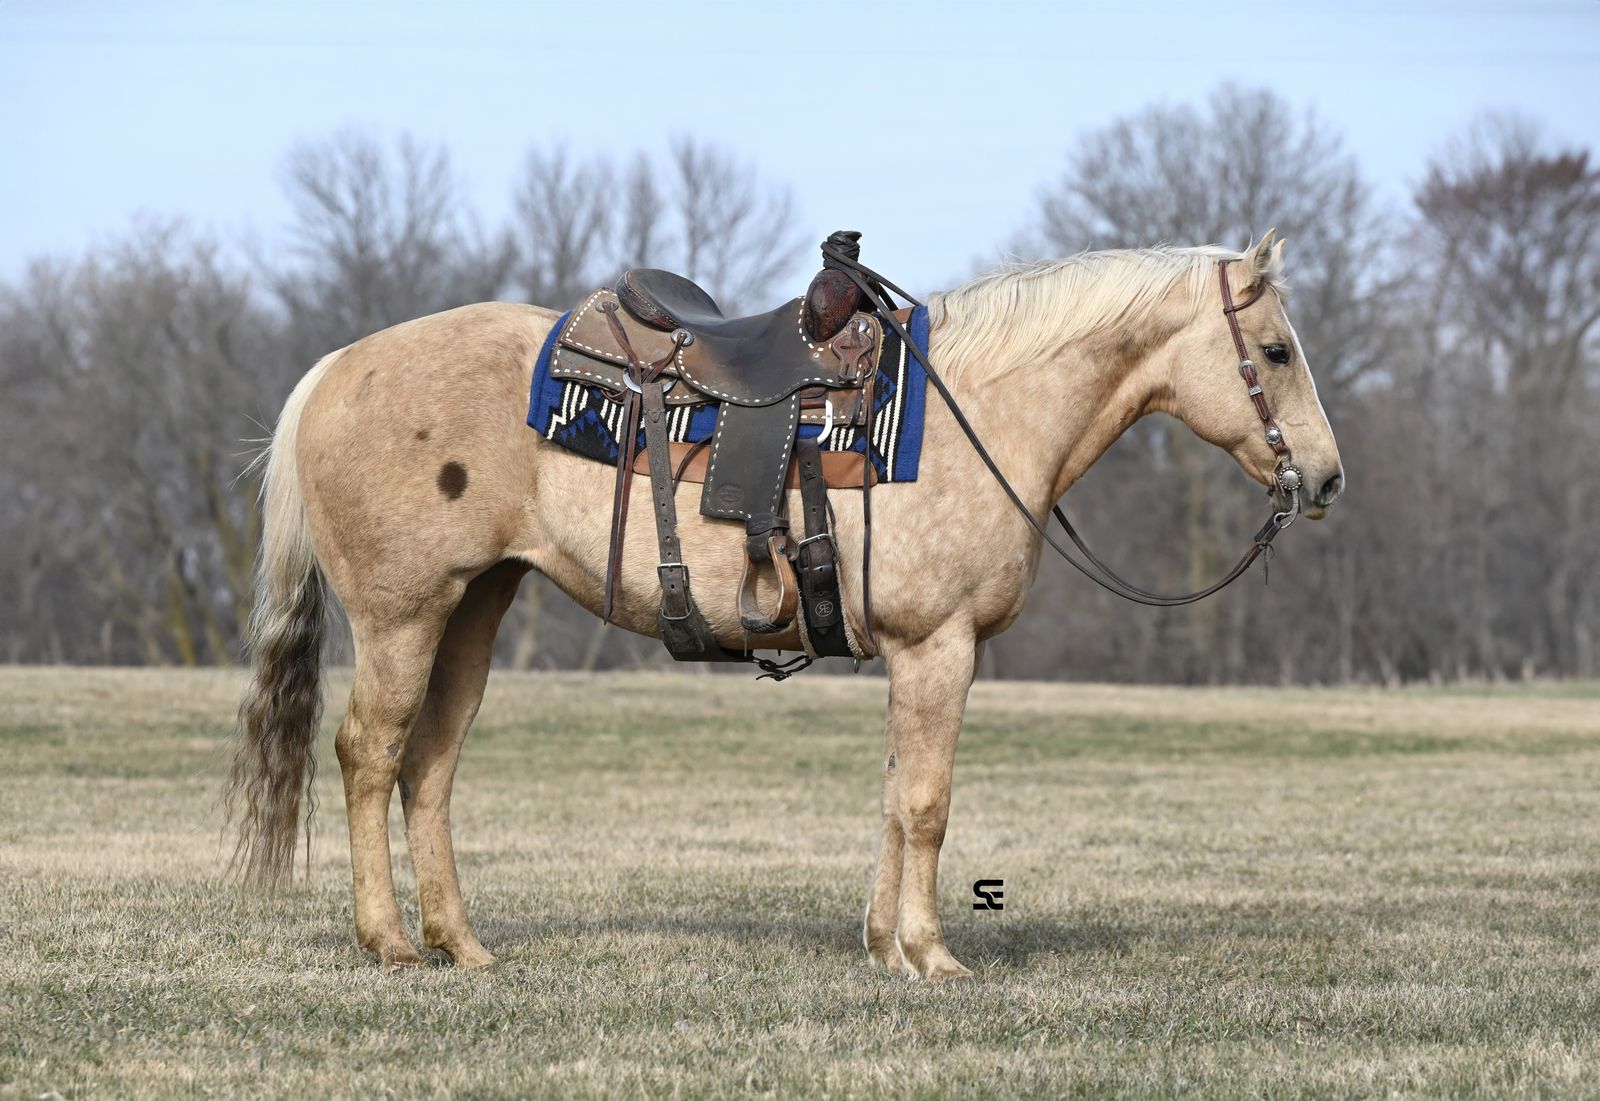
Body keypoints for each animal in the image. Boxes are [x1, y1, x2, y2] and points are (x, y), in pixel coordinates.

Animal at [225, 232, 1343, 980]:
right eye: (1276, 352)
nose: (1326, 479)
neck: (973, 414)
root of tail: (336, 369)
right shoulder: (940, 647)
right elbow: (928, 804)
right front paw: (932, 955)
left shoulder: (915, 654)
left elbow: (894, 797)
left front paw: (885, 945)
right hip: (402, 615)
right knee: (369, 755)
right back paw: (389, 942)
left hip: (476, 606)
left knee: (430, 768)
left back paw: (462, 943)